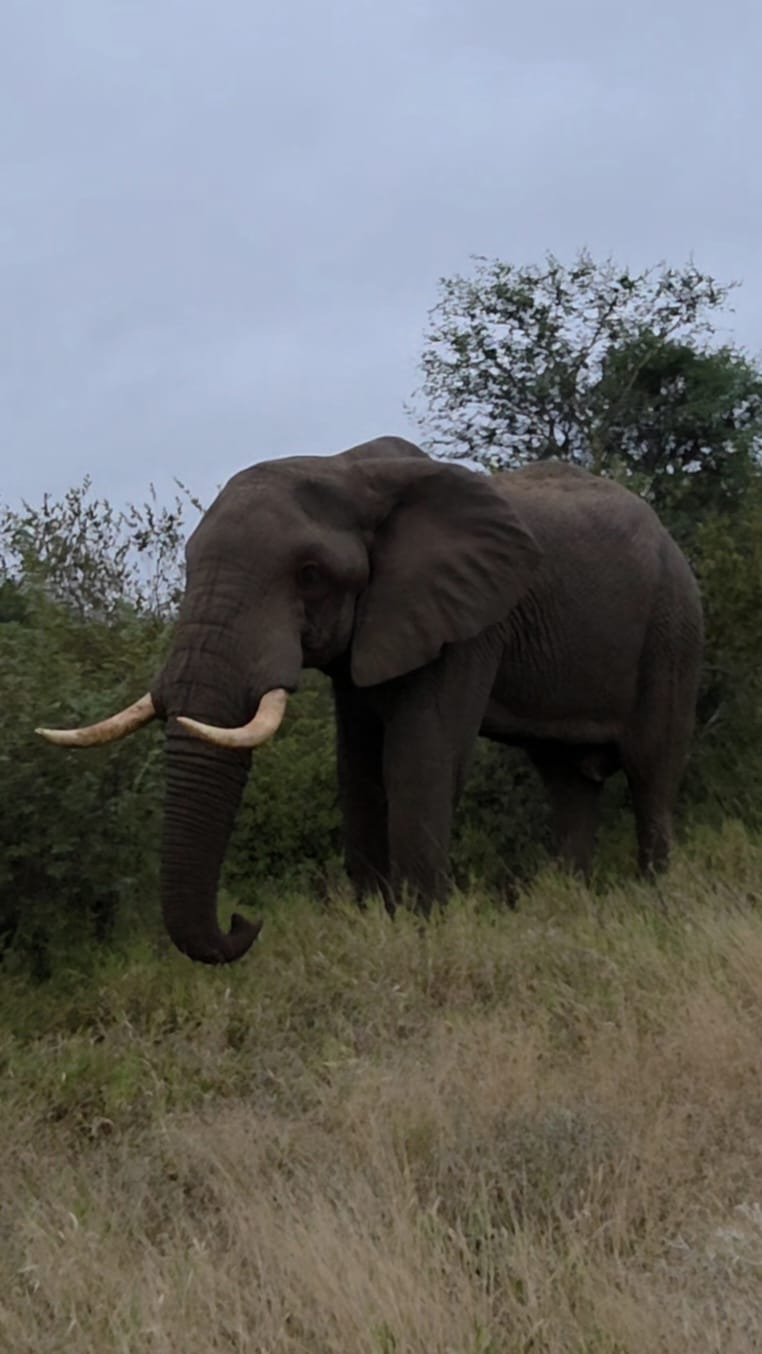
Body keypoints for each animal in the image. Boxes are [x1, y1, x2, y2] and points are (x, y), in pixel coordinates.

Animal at [37, 435, 704, 964]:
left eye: (309, 574)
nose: (244, 919)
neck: (349, 468)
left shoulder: (467, 622)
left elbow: (419, 759)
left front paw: (425, 932)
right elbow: (357, 769)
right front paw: (378, 923)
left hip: (672, 629)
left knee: (651, 770)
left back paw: (658, 906)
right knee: (568, 783)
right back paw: (569, 903)